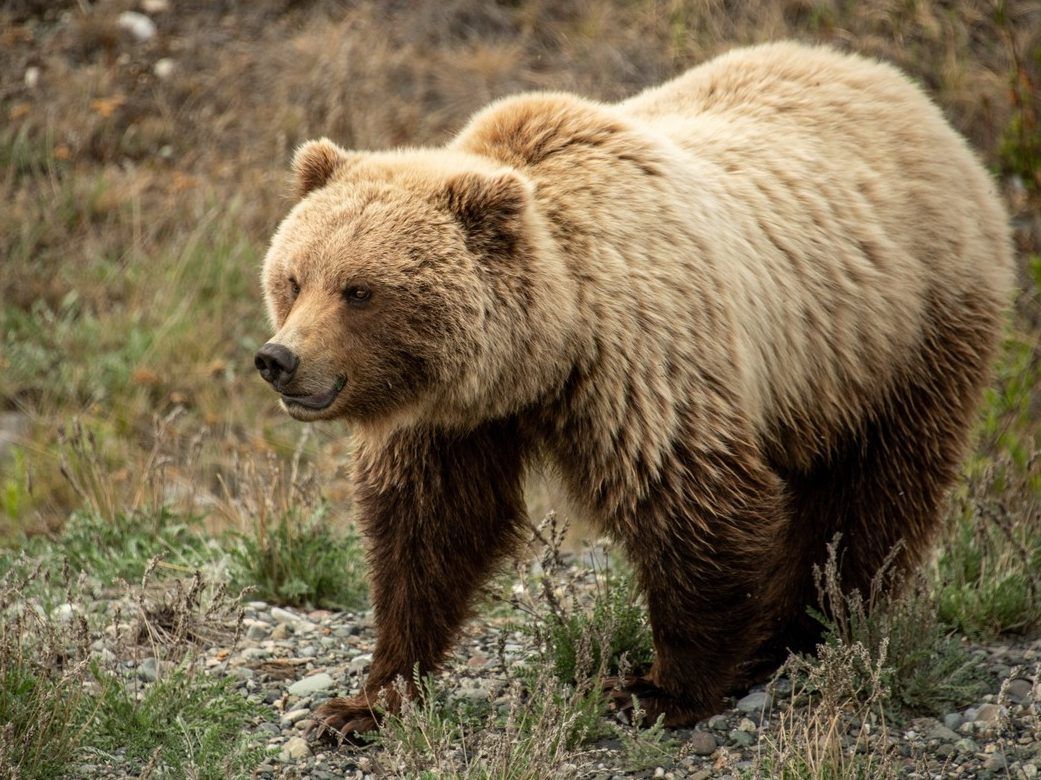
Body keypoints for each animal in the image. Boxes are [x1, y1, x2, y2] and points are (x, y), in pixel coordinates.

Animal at [255, 41, 1014, 740]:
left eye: (360, 291)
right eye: (293, 277)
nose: (278, 359)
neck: (541, 353)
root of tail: (908, 95)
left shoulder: (642, 364)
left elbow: (693, 508)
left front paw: (659, 690)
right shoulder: (450, 420)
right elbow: (428, 530)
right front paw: (364, 700)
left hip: (904, 331)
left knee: (875, 490)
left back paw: (803, 629)